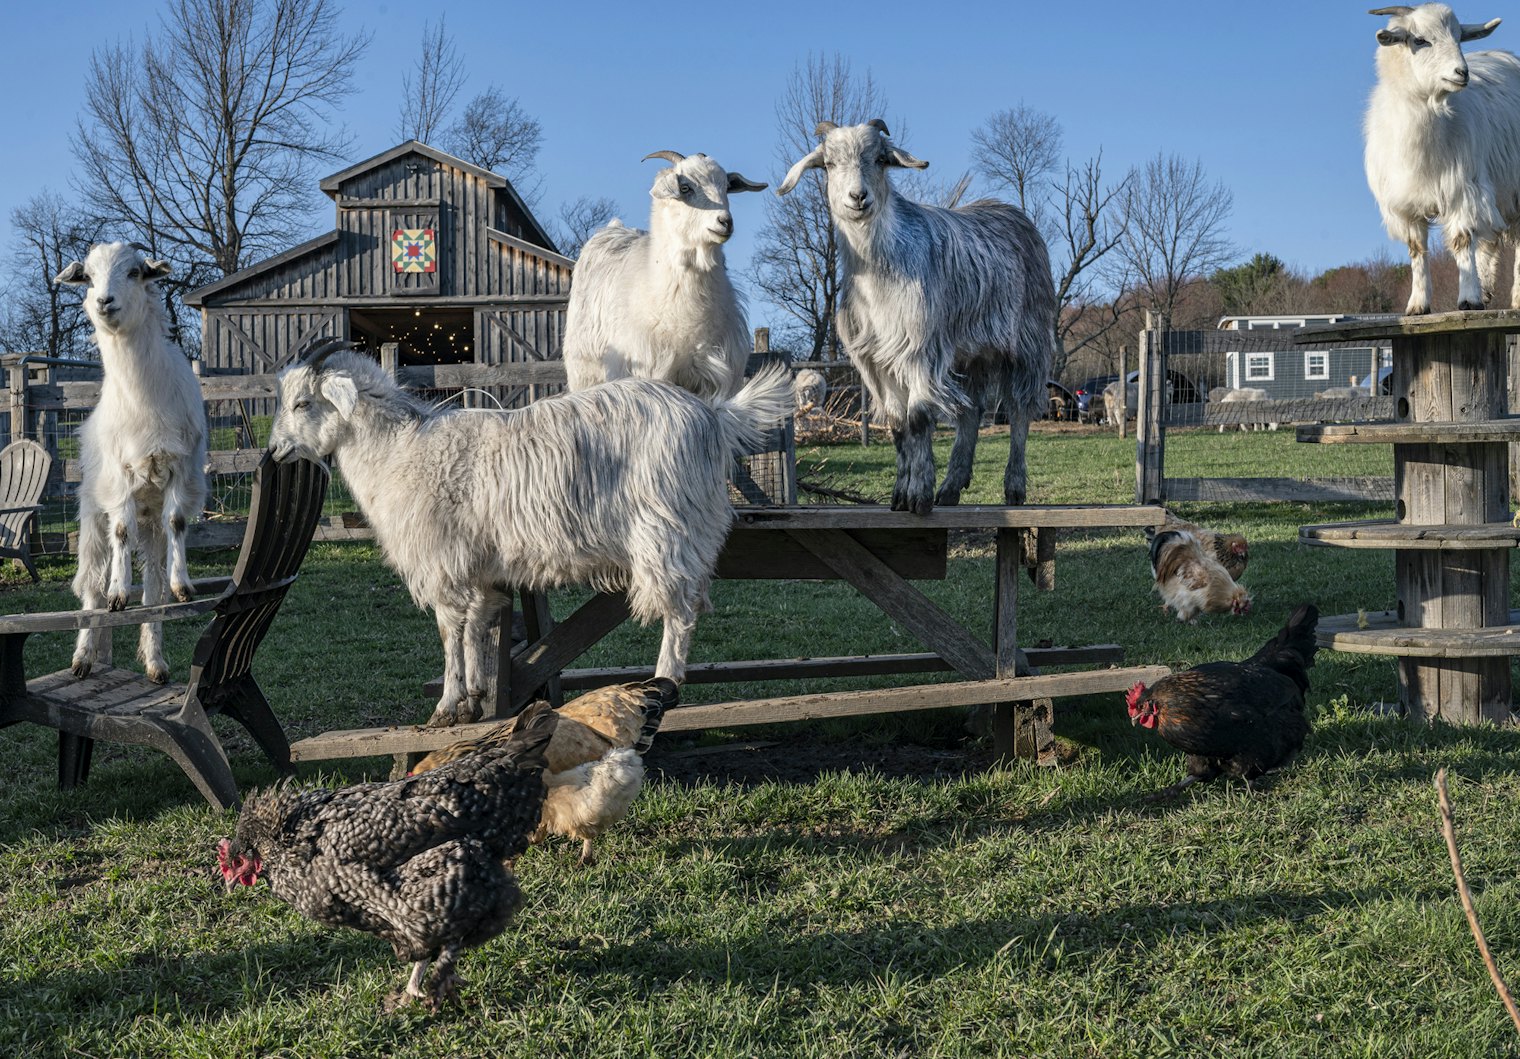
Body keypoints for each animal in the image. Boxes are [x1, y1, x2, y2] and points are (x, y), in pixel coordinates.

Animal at [55, 242, 207, 684]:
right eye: (87, 277)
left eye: (136, 272)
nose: (104, 301)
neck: (144, 400)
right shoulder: (119, 479)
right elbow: (121, 534)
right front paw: (118, 593)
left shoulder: (182, 471)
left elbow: (178, 523)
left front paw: (183, 585)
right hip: (92, 514)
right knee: (91, 584)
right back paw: (84, 657)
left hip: (150, 523)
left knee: (153, 587)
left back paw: (156, 663)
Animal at [267, 341, 792, 726]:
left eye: (302, 402)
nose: (274, 452)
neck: (400, 448)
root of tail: (713, 417)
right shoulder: (477, 565)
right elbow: (478, 625)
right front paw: (476, 696)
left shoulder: (442, 559)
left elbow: (449, 630)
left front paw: (446, 705)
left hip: (666, 529)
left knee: (681, 611)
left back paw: (666, 685)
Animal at [563, 151, 767, 400]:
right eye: (685, 188)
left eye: (727, 187)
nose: (725, 222)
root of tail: (613, 227)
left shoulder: (714, 379)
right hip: (584, 374)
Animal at [777, 120, 1057, 513]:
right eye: (829, 164)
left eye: (881, 159)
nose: (858, 197)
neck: (880, 271)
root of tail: (1011, 211)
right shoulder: (877, 358)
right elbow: (898, 425)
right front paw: (900, 495)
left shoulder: (921, 348)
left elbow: (919, 418)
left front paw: (919, 495)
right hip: (971, 351)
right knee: (971, 412)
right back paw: (952, 487)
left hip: (1026, 342)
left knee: (1019, 409)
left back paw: (1014, 488)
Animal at [1365, 4, 1518, 313]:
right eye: (1420, 40)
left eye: (1459, 38)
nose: (1462, 72)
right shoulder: (1405, 206)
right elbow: (1416, 250)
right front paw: (1417, 304)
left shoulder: (1463, 190)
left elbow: (1462, 241)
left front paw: (1469, 298)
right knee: (1490, 239)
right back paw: (1486, 289)